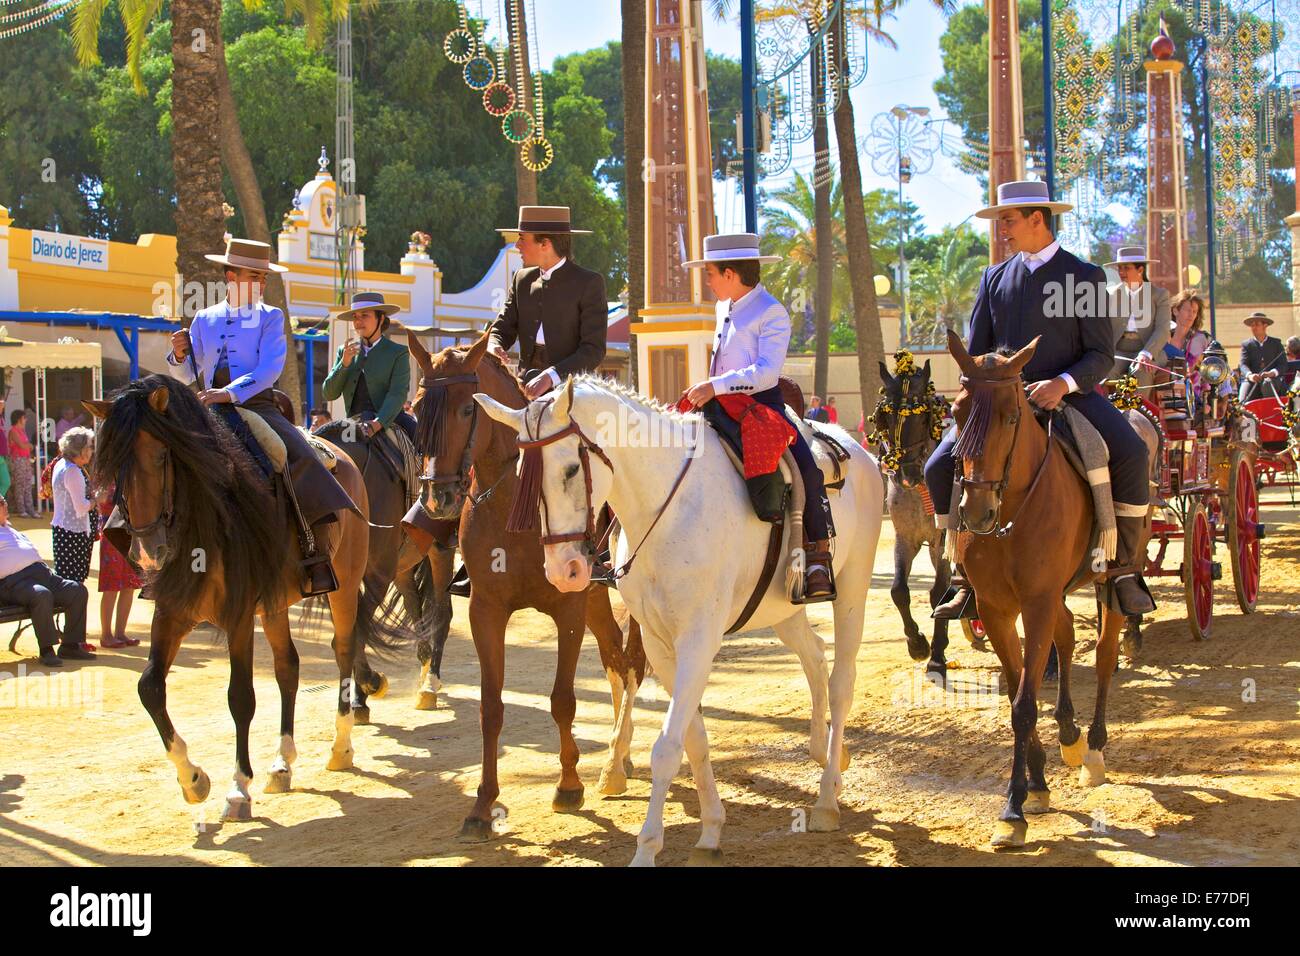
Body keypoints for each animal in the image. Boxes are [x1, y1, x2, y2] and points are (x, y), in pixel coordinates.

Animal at [85, 377, 410, 816]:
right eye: (112, 465)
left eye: (161, 456)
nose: (148, 551)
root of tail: (345, 457)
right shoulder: (172, 611)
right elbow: (150, 687)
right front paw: (192, 778)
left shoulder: (238, 615)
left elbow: (240, 697)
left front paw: (238, 787)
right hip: (275, 603)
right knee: (288, 667)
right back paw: (282, 763)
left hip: (346, 583)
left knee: (344, 648)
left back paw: (341, 745)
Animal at [408, 332, 647, 842]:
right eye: (417, 407)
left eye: (466, 409)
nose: (439, 497)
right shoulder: (486, 611)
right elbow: (491, 707)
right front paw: (482, 806)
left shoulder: (568, 608)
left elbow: (563, 700)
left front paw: (569, 785)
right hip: (596, 599)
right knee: (615, 660)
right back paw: (620, 757)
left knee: (633, 663)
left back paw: (615, 764)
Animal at [475, 374, 883, 868]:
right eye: (522, 476)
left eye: (571, 469)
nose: (563, 571)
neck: (665, 508)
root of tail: (857, 449)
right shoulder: (659, 642)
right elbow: (695, 739)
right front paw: (710, 831)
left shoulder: (697, 640)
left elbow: (668, 747)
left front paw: (647, 848)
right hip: (783, 609)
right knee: (815, 657)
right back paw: (826, 753)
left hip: (853, 587)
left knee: (842, 681)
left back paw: (826, 798)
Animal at [946, 332, 1159, 848]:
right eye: (958, 412)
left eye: (1011, 416)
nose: (975, 511)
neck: (1011, 510)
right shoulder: (998, 608)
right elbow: (1015, 691)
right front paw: (1037, 784)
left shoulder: (1037, 602)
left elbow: (1024, 704)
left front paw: (1013, 808)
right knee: (1065, 636)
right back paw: (1069, 733)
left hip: (1109, 578)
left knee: (1103, 653)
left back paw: (1094, 749)